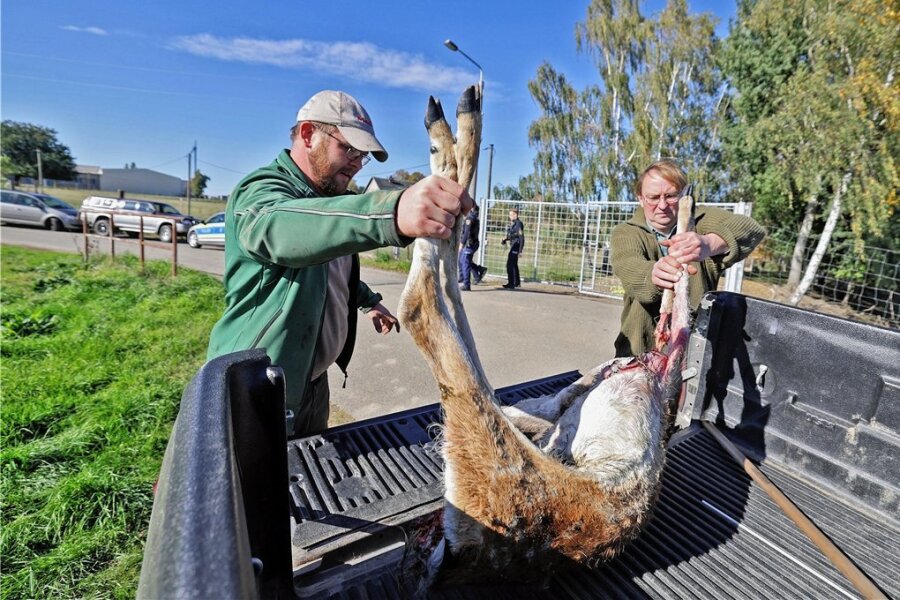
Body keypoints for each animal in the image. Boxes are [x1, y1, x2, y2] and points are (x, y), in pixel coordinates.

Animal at [398, 85, 692, 592]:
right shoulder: (587, 390)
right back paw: (454, 135)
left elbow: (681, 307)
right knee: (447, 318)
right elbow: (679, 307)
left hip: (498, 466)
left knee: (424, 312)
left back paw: (450, 137)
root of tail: (457, 559)